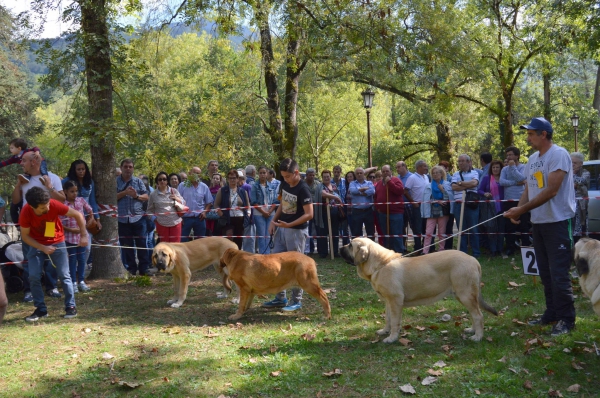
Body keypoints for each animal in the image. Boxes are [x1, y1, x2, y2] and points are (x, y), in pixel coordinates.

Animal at [340, 238, 500, 344]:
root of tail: (474, 260)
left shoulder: (395, 301)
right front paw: (384, 331)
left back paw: (477, 336)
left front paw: (392, 338)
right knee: (474, 314)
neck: (380, 265)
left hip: (465, 294)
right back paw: (472, 330)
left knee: (478, 315)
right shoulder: (388, 302)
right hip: (464, 296)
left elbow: (395, 322)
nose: (340, 247)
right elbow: (388, 319)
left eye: (350, 245)